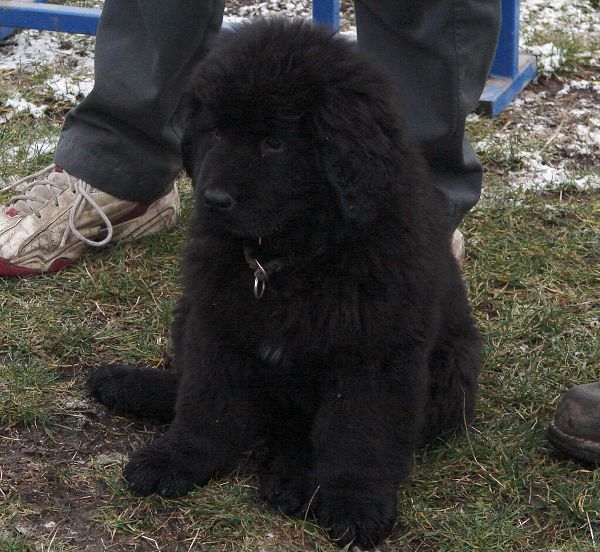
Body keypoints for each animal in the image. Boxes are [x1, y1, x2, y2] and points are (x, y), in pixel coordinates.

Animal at [89, 17, 482, 548]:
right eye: (216, 132)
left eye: (274, 143)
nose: (213, 200)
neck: (288, 258)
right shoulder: (217, 319)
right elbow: (206, 401)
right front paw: (177, 458)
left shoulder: (375, 349)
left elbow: (361, 431)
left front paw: (355, 503)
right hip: (187, 312)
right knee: (214, 395)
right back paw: (130, 385)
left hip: (453, 370)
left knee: (297, 428)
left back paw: (292, 477)